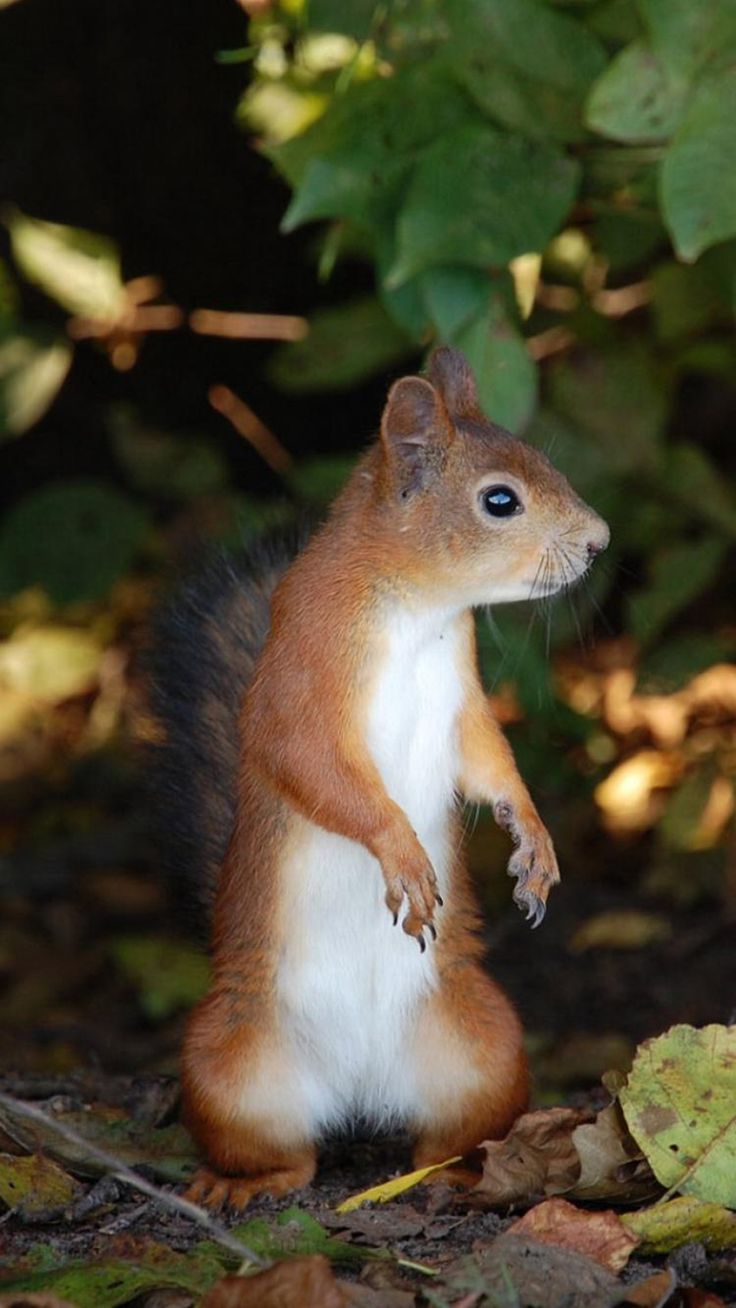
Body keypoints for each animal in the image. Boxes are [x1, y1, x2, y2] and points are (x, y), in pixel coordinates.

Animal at [150, 347, 609, 1210]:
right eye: (501, 500)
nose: (599, 541)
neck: (419, 609)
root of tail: (359, 1089)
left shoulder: (463, 696)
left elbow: (489, 761)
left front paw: (532, 838)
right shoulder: (302, 678)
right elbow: (317, 770)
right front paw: (401, 852)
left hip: (486, 1050)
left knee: (442, 1139)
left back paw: (463, 1173)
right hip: (227, 1067)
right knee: (287, 1155)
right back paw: (240, 1183)